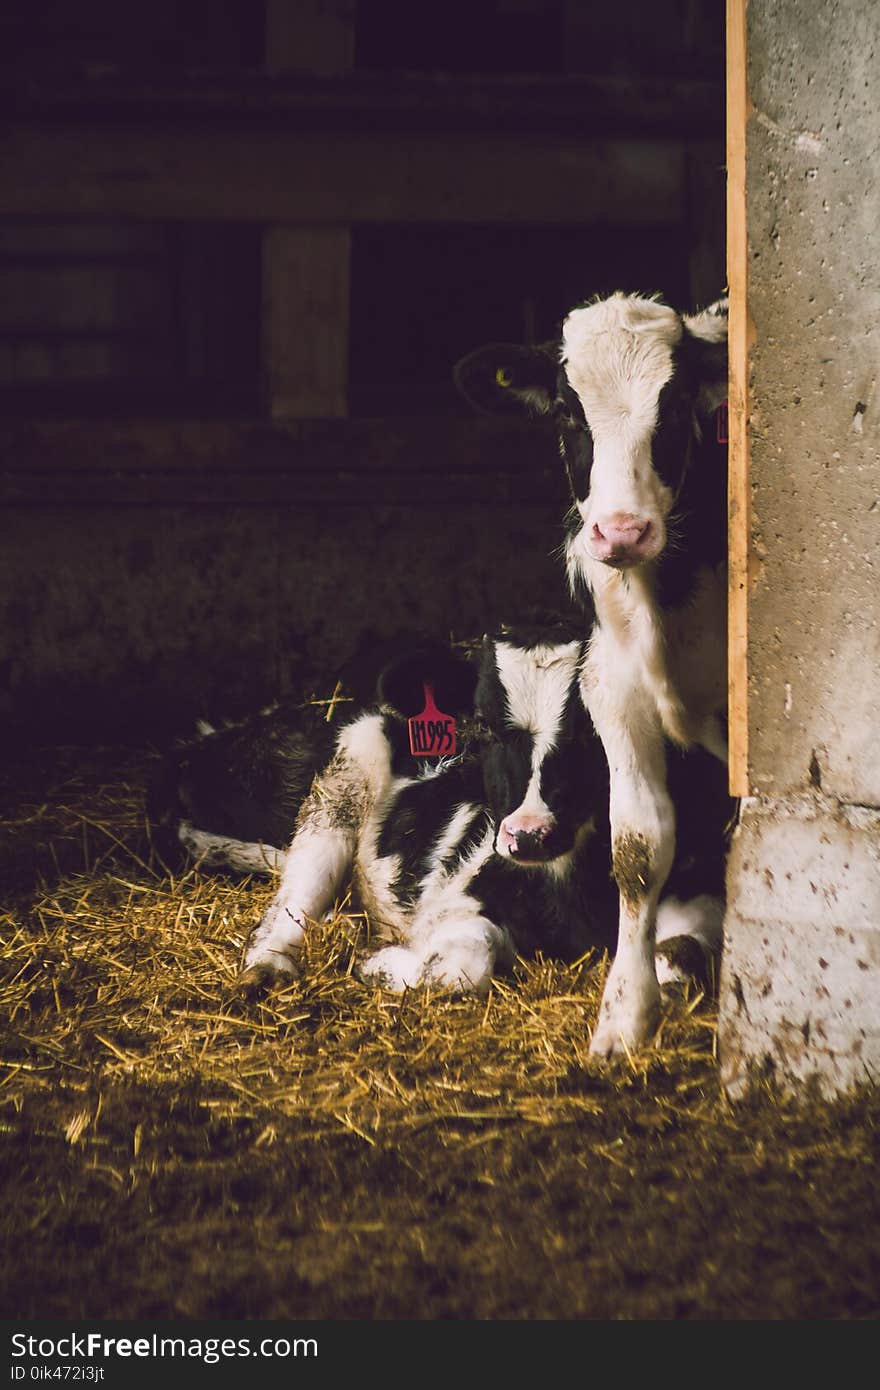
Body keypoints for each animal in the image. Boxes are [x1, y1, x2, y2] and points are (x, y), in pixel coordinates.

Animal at [239, 617, 728, 1000]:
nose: (528, 834)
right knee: (295, 898)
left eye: (594, 731)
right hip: (345, 778)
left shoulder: (698, 884)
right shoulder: (455, 894)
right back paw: (268, 967)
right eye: (485, 727)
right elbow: (453, 972)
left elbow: (681, 962)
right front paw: (379, 964)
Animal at [453, 293, 728, 1050]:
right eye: (567, 413)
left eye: (679, 402)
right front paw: (624, 1019)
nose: (622, 532)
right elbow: (638, 849)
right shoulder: (614, 687)